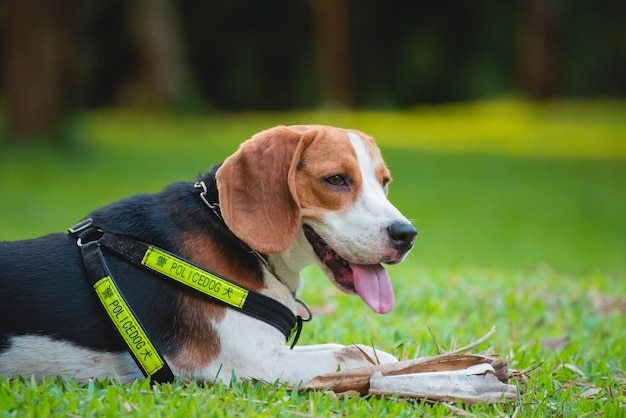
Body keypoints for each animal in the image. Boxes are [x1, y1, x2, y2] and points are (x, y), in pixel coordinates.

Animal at [0, 125, 414, 386]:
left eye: (384, 182)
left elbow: (357, 349)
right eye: (336, 180)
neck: (231, 232)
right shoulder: (252, 363)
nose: (407, 235)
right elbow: (353, 357)